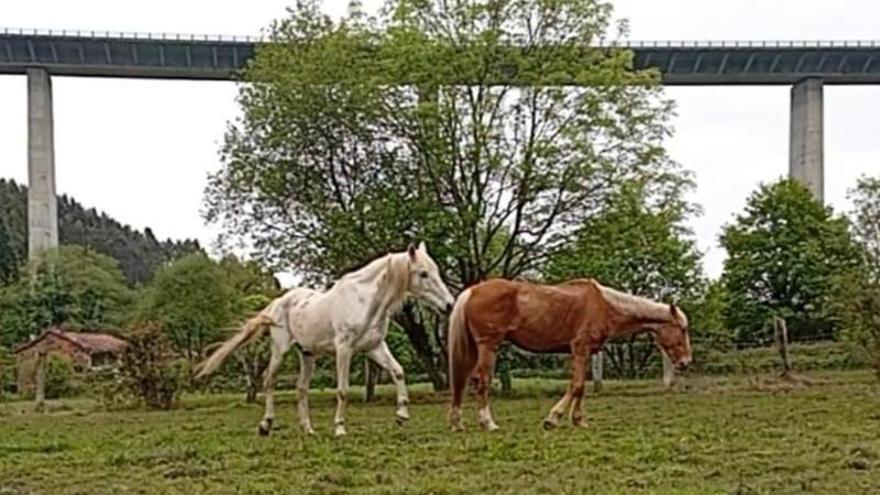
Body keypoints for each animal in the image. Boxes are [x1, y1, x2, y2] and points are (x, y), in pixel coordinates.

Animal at [196, 242, 455, 437]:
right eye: (423, 273)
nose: (449, 305)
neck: (364, 302)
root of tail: (278, 303)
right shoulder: (344, 349)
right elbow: (343, 390)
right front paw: (339, 428)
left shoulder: (374, 347)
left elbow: (398, 372)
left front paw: (402, 415)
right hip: (280, 351)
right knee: (269, 381)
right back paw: (266, 425)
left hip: (307, 354)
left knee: (301, 388)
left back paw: (308, 429)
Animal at [447, 278, 692, 431]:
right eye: (682, 329)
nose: (686, 362)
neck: (604, 305)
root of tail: (473, 290)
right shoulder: (580, 348)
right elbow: (577, 386)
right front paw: (553, 419)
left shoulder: (582, 352)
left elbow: (579, 386)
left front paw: (577, 420)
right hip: (488, 346)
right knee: (482, 380)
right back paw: (487, 423)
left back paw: (458, 423)